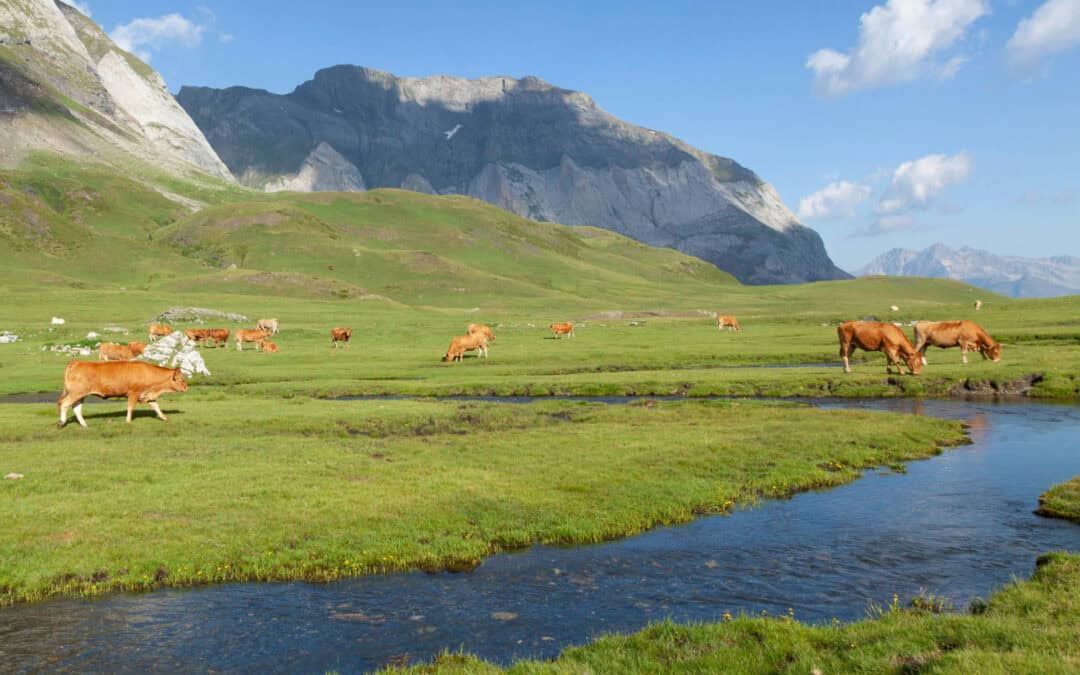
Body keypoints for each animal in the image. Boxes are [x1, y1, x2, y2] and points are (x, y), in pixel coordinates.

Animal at [58, 360, 188, 428]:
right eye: (181, 379)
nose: (187, 387)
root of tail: (77, 362)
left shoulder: (147, 395)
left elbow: (156, 406)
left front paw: (164, 417)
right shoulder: (133, 393)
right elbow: (130, 407)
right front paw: (128, 421)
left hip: (80, 395)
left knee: (76, 408)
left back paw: (84, 424)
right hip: (76, 393)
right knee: (65, 404)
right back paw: (62, 422)